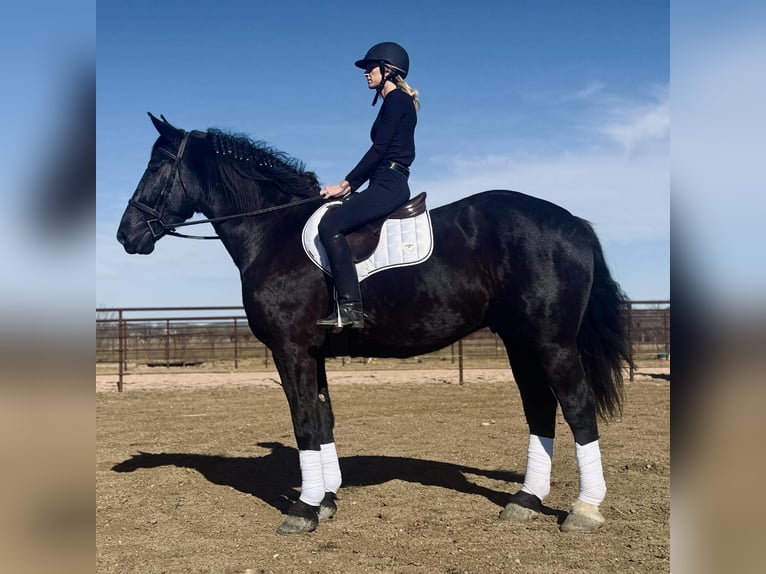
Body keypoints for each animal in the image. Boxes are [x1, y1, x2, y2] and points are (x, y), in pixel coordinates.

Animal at [117, 113, 631, 535]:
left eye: (157, 166)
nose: (126, 235)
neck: (275, 233)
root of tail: (572, 221)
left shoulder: (291, 349)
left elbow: (304, 421)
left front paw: (302, 510)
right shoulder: (315, 354)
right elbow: (323, 418)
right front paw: (325, 500)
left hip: (551, 341)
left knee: (577, 407)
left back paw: (583, 510)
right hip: (521, 341)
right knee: (539, 407)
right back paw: (525, 501)